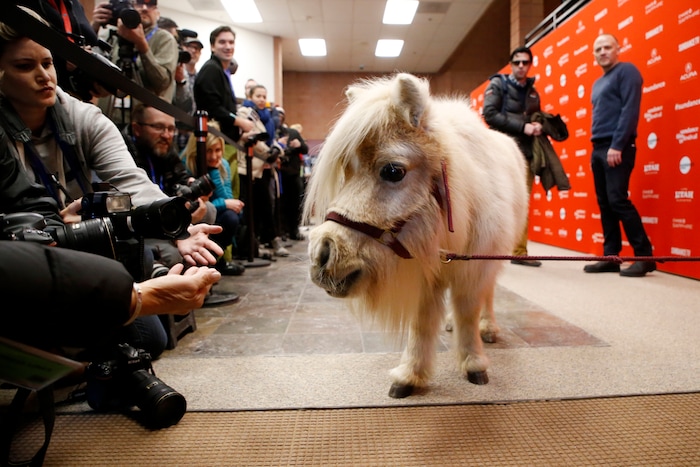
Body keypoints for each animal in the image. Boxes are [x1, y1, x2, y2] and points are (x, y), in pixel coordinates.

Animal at [302, 73, 528, 398]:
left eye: (393, 171)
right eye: (347, 170)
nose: (322, 255)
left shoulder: (473, 268)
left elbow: (468, 311)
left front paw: (473, 364)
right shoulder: (427, 276)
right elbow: (421, 324)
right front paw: (410, 375)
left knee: (488, 294)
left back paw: (487, 327)